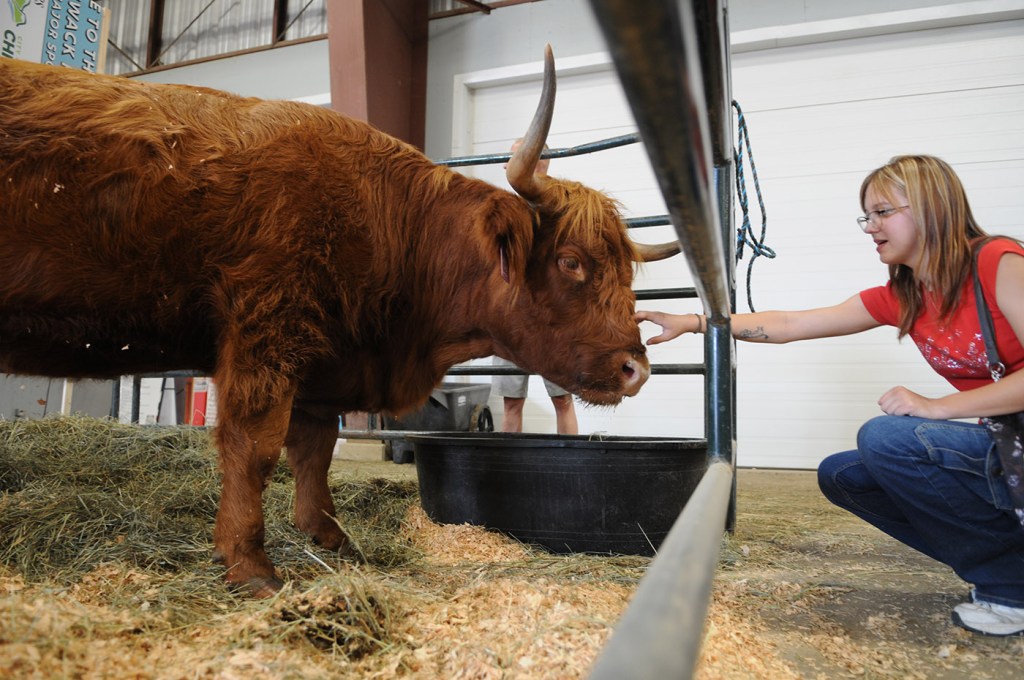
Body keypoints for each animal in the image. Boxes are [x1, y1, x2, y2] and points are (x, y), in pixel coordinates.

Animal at [0, 47, 678, 596]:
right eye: (571, 261)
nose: (636, 368)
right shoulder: (266, 333)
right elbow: (255, 448)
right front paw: (249, 564)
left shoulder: (324, 367)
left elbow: (314, 452)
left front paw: (330, 537)